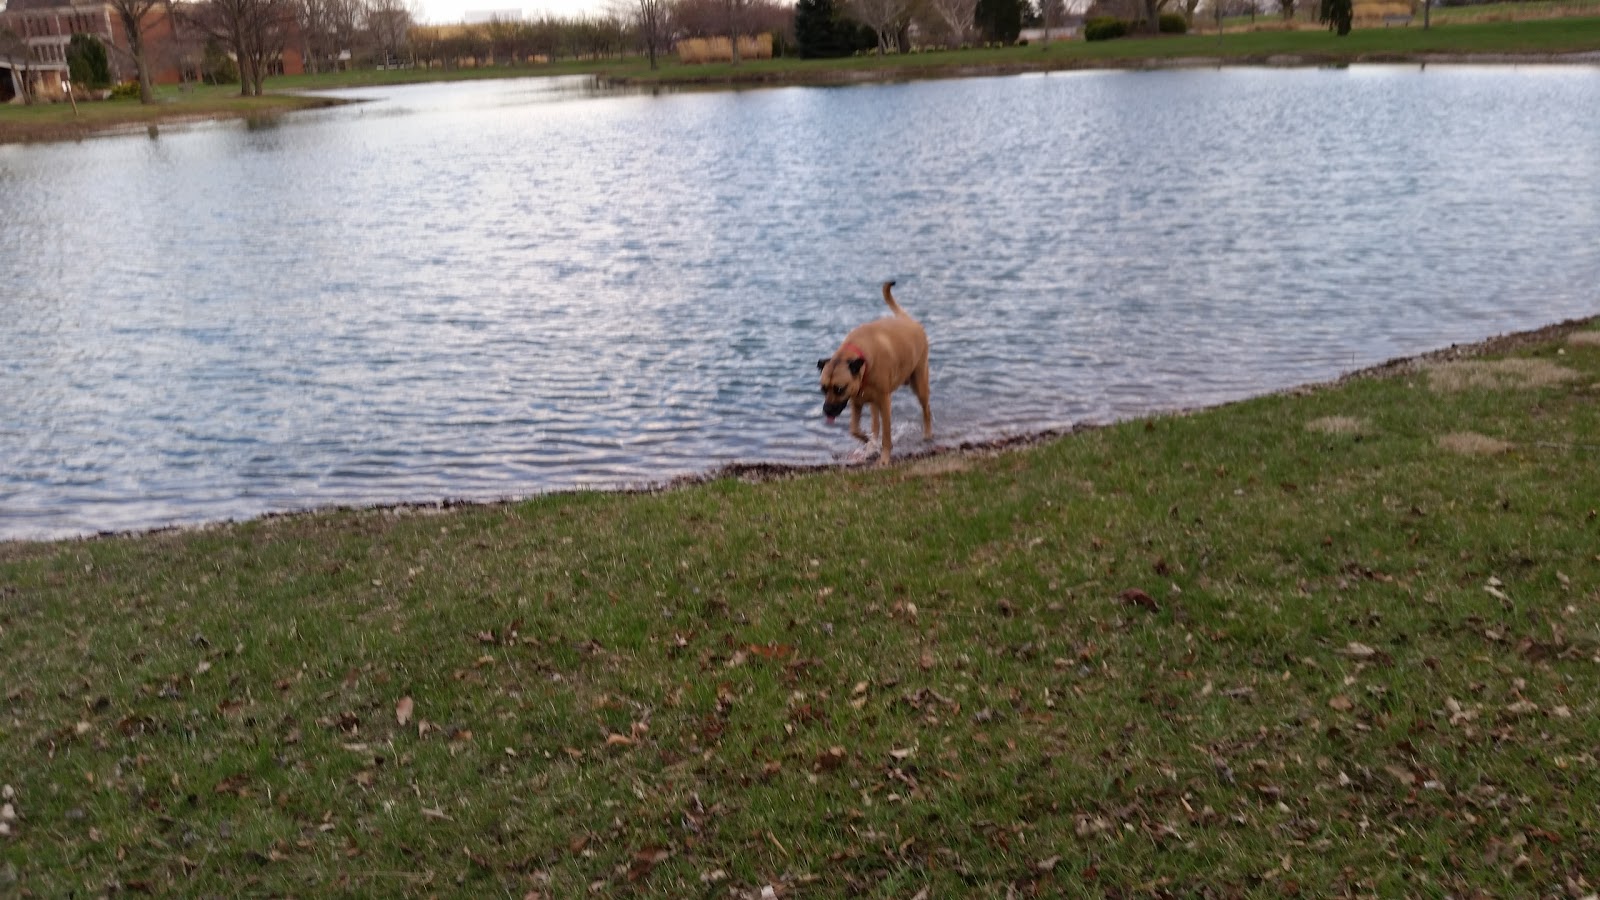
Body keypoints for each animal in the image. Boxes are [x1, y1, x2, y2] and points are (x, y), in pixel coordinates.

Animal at [817, 281, 931, 464]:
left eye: (839, 388)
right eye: (823, 388)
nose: (827, 411)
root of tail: (908, 320)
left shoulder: (884, 401)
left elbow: (886, 435)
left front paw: (884, 458)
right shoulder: (856, 401)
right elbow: (854, 429)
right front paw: (868, 440)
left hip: (919, 381)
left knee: (926, 409)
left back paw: (927, 434)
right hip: (872, 401)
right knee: (875, 422)